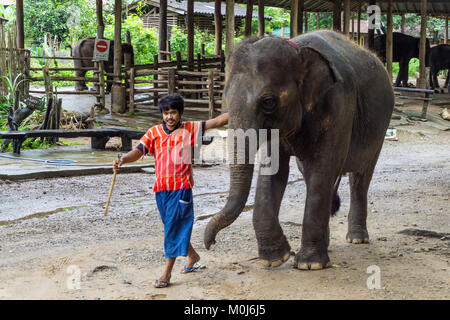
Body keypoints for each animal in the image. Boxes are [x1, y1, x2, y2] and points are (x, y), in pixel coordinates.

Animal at [204, 30, 394, 270]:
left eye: (268, 101)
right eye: (225, 97)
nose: (209, 244)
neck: (297, 50)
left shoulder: (340, 106)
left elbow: (323, 168)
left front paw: (309, 264)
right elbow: (273, 171)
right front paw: (275, 259)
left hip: (379, 129)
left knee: (360, 176)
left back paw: (357, 239)